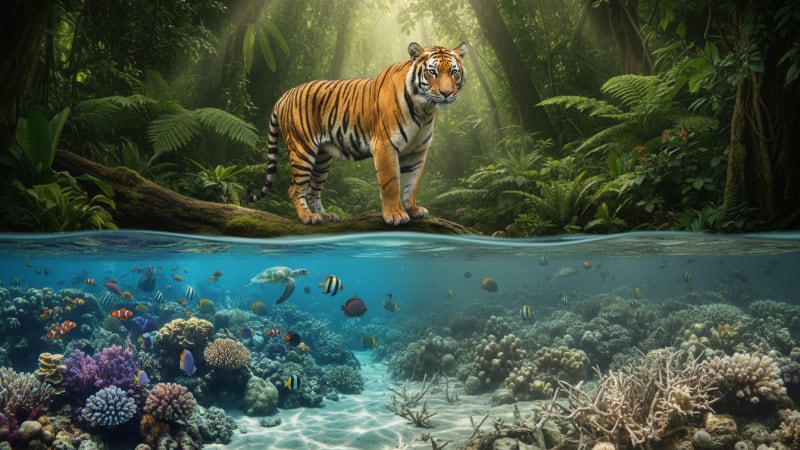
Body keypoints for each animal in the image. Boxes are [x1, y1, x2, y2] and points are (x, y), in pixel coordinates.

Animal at [247, 41, 467, 225]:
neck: (424, 109)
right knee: (295, 189)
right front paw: (395, 214)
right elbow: (391, 183)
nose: (447, 93)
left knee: (312, 190)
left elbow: (412, 183)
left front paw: (413, 209)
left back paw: (325, 216)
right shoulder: (385, 145)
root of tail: (285, 94)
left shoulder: (417, 151)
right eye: (432, 72)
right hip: (303, 150)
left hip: (321, 158)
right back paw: (308, 217)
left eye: (453, 72)